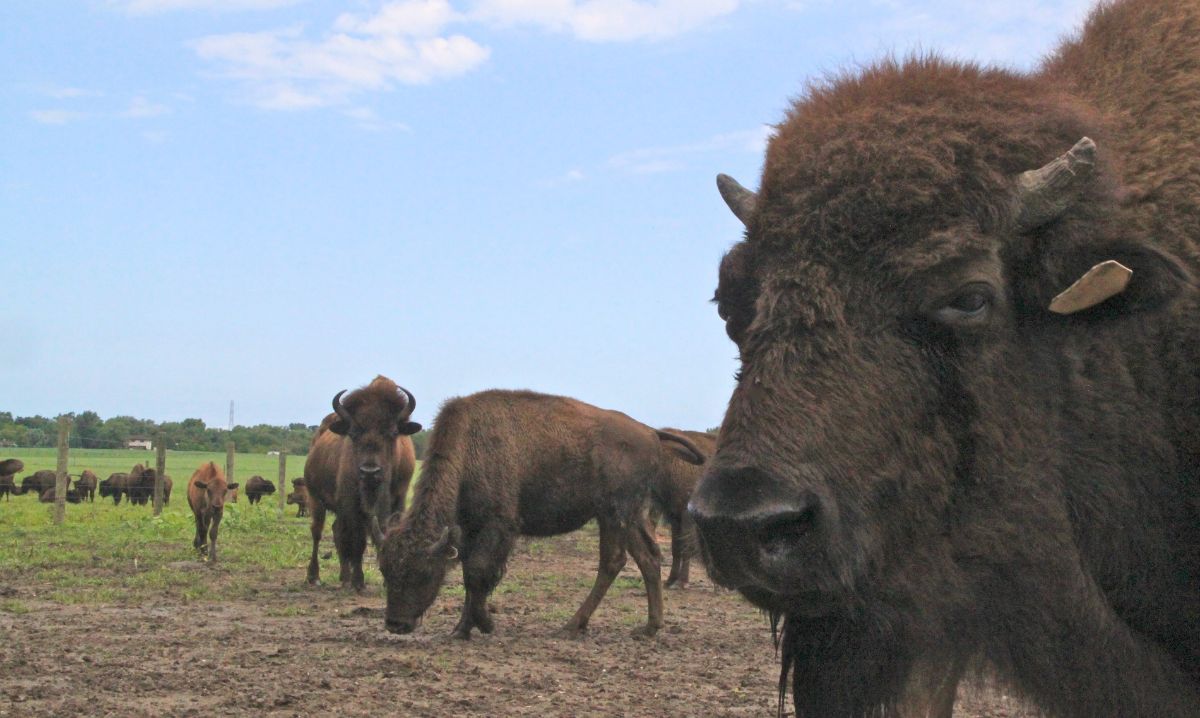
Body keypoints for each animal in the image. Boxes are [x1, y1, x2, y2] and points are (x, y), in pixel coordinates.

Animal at [303, 376, 420, 591]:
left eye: (392, 433)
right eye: (354, 433)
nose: (370, 472)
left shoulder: (398, 498)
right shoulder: (351, 503)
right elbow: (357, 540)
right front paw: (358, 581)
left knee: (337, 531)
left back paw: (344, 576)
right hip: (315, 499)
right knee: (318, 532)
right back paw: (315, 577)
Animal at [378, 389, 705, 639]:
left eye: (423, 573)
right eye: (385, 570)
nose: (395, 624)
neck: (470, 445)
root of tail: (651, 432)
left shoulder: (499, 526)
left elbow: (477, 574)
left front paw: (484, 624)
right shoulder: (470, 530)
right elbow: (471, 575)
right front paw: (461, 629)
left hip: (615, 513)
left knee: (614, 561)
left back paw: (571, 626)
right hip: (627, 515)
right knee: (644, 558)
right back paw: (648, 627)